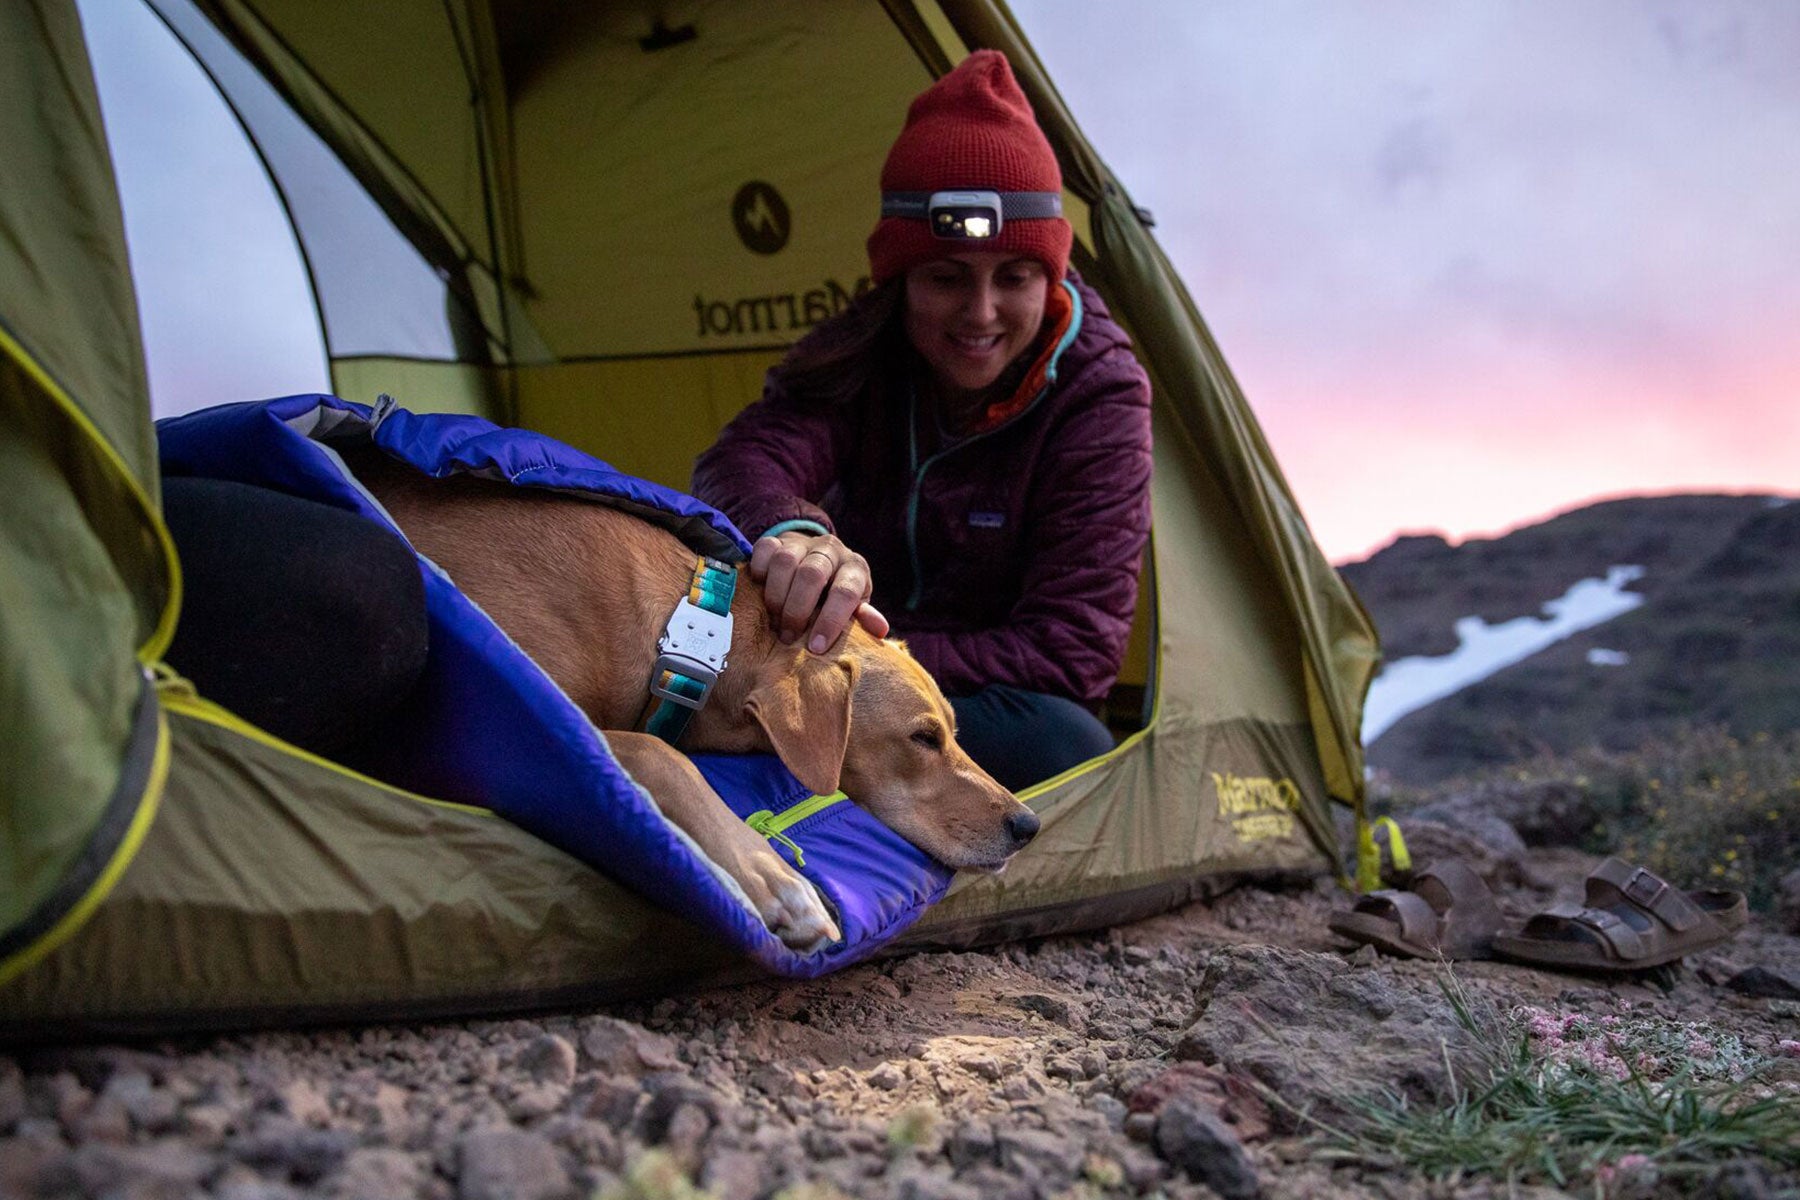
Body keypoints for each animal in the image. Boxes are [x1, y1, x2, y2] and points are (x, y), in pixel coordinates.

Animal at [340, 446, 1044, 949]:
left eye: (953, 730)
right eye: (923, 738)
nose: (1028, 825)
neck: (695, 631)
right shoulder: (544, 702)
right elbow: (665, 755)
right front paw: (774, 881)